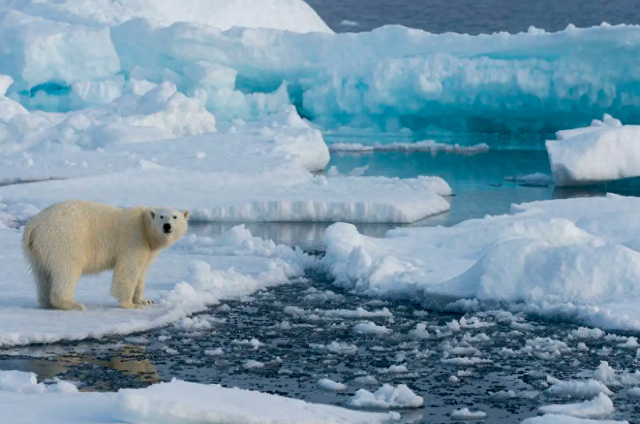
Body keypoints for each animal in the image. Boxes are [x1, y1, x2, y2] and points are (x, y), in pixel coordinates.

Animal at [21, 199, 190, 312]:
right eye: (162, 216)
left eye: (175, 217)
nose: (167, 226)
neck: (144, 227)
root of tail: (33, 225)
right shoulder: (133, 240)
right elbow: (128, 270)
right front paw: (131, 304)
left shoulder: (147, 250)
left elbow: (141, 273)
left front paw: (144, 300)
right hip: (64, 239)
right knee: (67, 270)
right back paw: (73, 304)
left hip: (37, 250)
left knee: (42, 275)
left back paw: (46, 303)